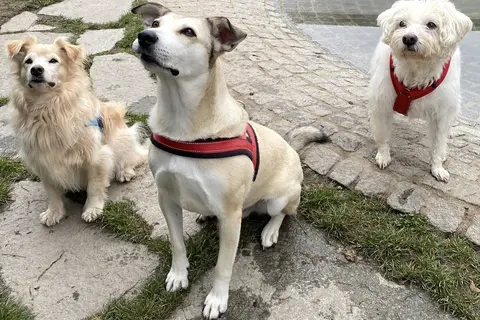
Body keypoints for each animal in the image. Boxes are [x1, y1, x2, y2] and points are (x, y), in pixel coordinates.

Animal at [6, 37, 148, 226]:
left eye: (53, 60)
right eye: (28, 61)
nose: (36, 69)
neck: (47, 108)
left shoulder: (97, 157)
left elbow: (95, 186)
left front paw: (93, 209)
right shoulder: (42, 161)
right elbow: (52, 191)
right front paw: (54, 212)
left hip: (121, 139)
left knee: (133, 157)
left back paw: (125, 171)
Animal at [130, 3, 326, 320]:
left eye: (188, 32)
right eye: (156, 23)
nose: (145, 36)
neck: (183, 120)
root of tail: (292, 150)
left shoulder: (231, 217)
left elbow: (223, 266)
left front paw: (217, 299)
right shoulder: (166, 198)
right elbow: (177, 243)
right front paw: (178, 274)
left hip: (280, 197)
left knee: (283, 213)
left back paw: (270, 231)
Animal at [368, 0, 472, 181]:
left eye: (431, 25)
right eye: (402, 23)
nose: (408, 38)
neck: (416, 68)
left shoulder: (442, 113)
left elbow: (438, 143)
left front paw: (437, 167)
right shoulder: (382, 103)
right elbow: (383, 135)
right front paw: (383, 155)